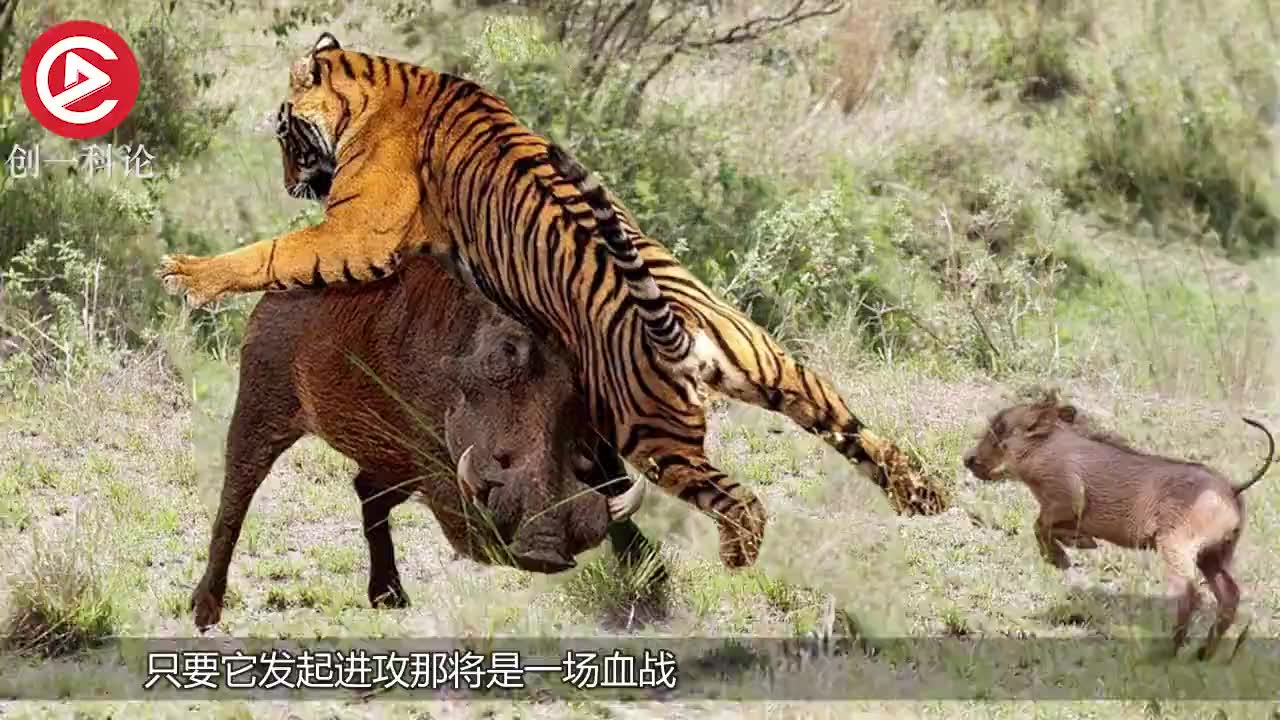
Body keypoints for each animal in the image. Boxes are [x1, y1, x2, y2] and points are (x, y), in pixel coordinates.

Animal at [159, 33, 948, 568]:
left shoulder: (355, 233)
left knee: (743, 501)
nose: (291, 181)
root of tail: (679, 329)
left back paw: (737, 563)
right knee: (864, 438)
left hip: (656, 438)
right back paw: (927, 499)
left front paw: (187, 275)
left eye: (285, 132)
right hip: (788, 375)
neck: (381, 84)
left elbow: (271, 254)